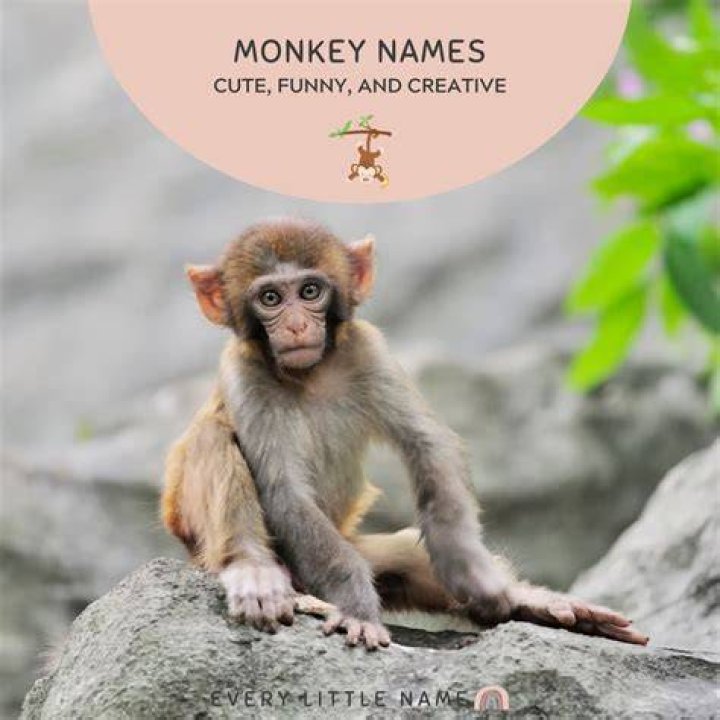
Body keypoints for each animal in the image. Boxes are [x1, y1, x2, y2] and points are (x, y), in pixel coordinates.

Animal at [161, 219, 648, 650]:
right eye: (270, 297)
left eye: (310, 292)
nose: (297, 325)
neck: (310, 376)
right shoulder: (244, 376)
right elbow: (287, 494)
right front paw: (357, 608)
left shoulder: (367, 350)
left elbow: (428, 444)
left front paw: (471, 572)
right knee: (213, 437)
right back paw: (253, 570)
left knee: (404, 556)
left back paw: (531, 603)